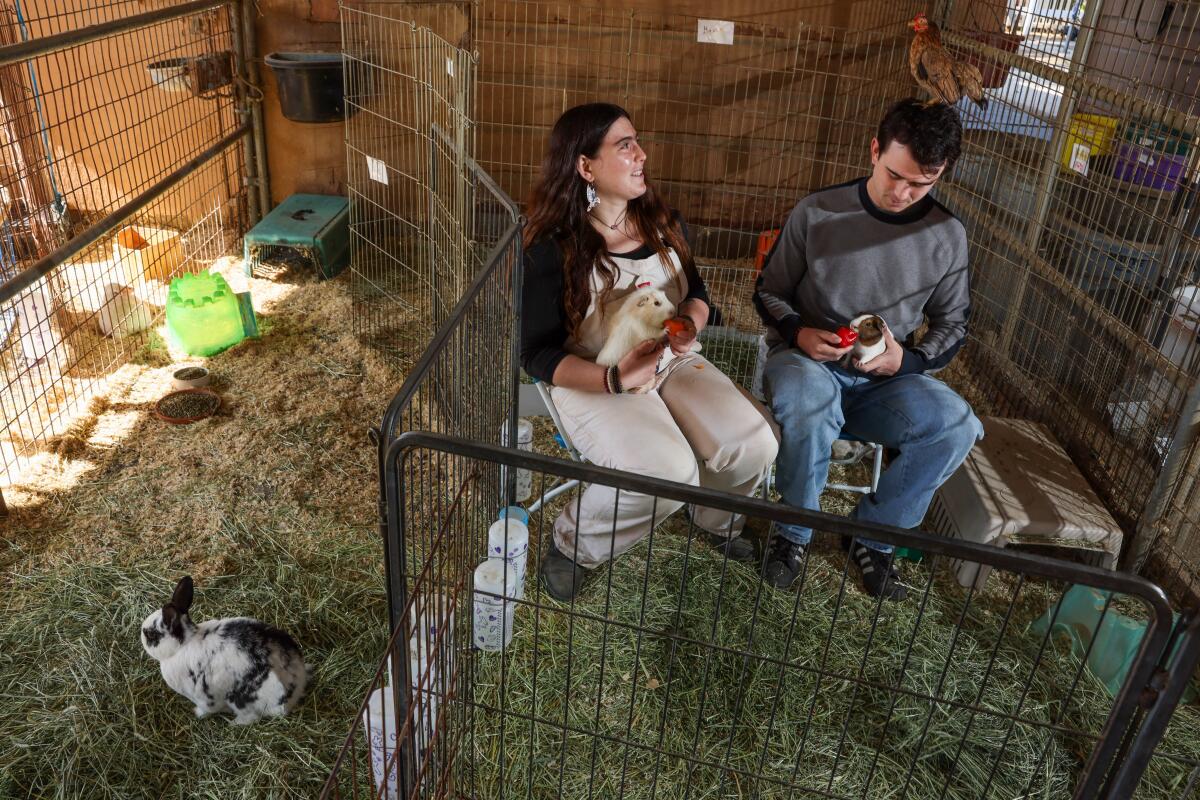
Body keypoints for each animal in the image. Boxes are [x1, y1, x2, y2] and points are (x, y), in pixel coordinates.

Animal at [141, 575, 312, 724]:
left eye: (150, 634)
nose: (141, 635)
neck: (184, 644)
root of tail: (296, 684)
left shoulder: (202, 696)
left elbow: (207, 709)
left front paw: (197, 713)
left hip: (239, 699)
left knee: (251, 717)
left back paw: (234, 723)